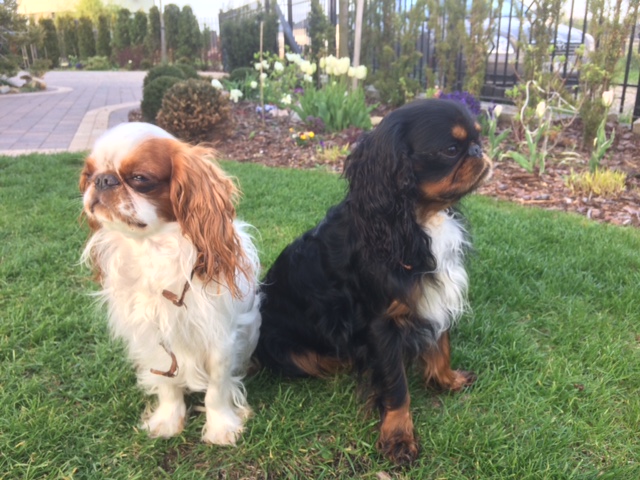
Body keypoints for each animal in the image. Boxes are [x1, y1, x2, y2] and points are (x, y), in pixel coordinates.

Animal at [80, 122, 261, 445]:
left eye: (140, 178)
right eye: (88, 174)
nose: (102, 180)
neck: (153, 249)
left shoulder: (220, 336)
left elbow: (217, 389)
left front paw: (221, 428)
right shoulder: (151, 335)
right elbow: (166, 383)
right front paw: (168, 420)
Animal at [255, 99, 492, 463]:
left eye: (478, 138)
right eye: (452, 149)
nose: (479, 150)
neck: (414, 221)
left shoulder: (434, 296)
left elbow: (441, 344)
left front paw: (447, 380)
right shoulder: (381, 324)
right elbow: (396, 385)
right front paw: (398, 436)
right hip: (289, 350)